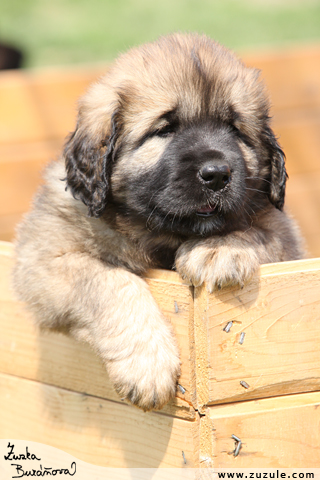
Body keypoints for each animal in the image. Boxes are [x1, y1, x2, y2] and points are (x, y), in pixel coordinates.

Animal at [12, 32, 304, 408]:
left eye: (235, 130)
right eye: (165, 129)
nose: (217, 174)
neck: (158, 233)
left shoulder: (285, 234)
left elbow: (259, 232)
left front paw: (219, 250)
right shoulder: (44, 260)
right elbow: (110, 282)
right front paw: (147, 364)